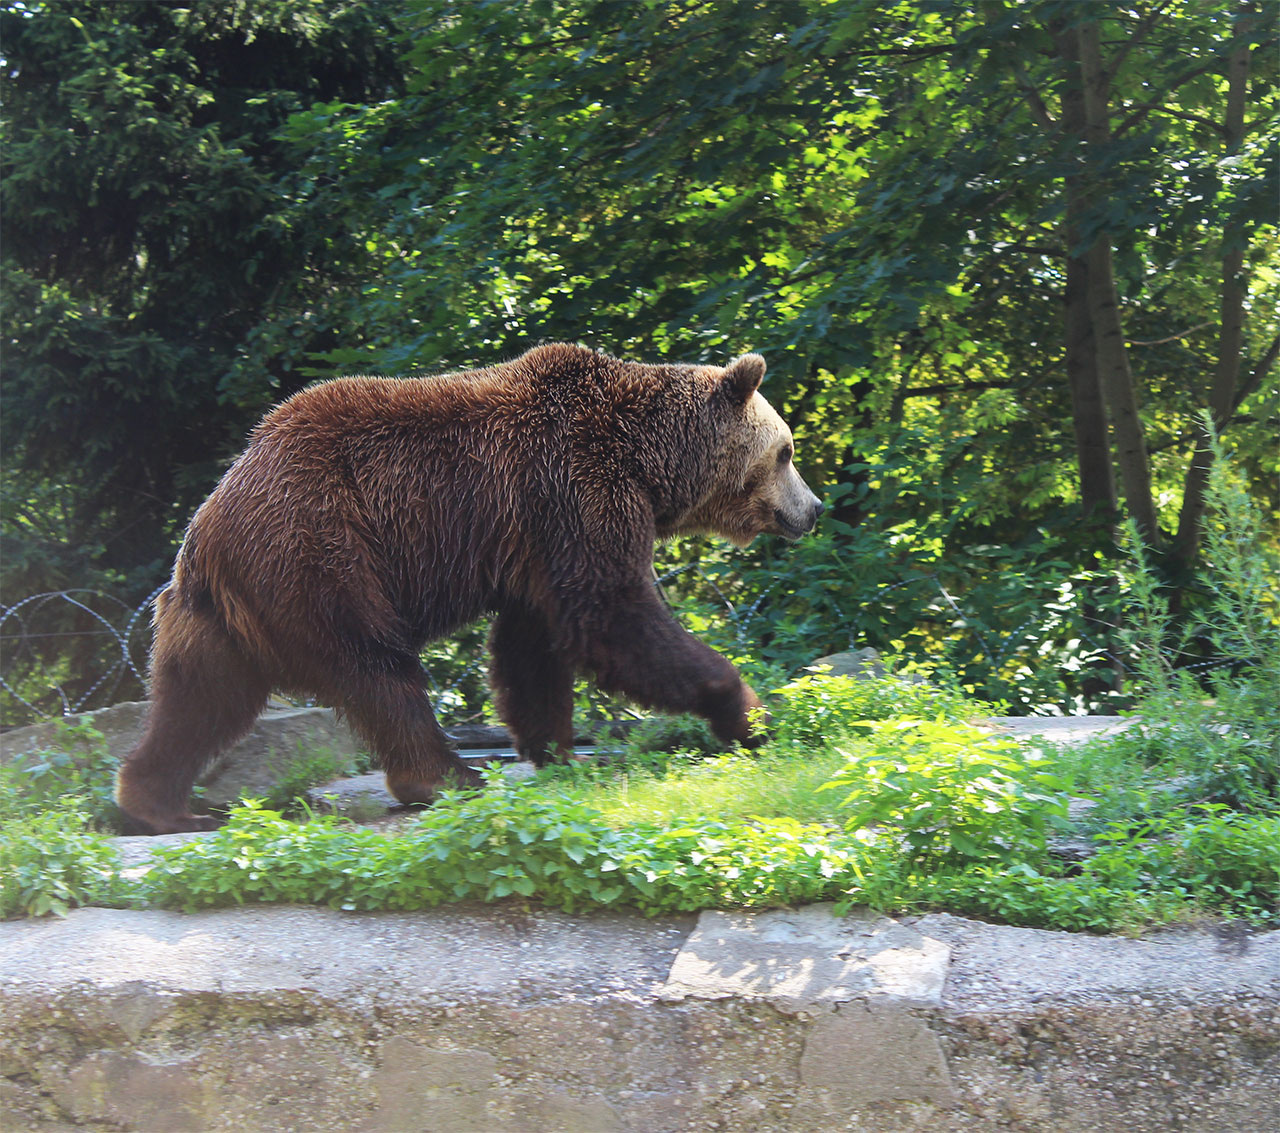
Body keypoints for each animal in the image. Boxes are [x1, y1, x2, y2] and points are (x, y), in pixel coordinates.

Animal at [115, 345, 824, 829]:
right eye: (786, 450)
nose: (813, 509)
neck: (647, 460)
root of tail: (209, 522)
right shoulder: (572, 488)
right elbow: (613, 614)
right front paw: (748, 711)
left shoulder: (536, 538)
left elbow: (533, 643)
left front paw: (556, 750)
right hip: (321, 552)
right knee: (376, 668)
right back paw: (443, 778)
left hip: (223, 612)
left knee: (203, 696)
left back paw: (159, 802)